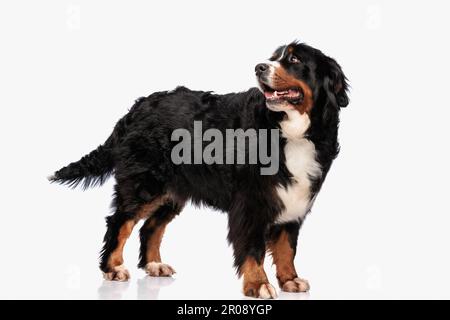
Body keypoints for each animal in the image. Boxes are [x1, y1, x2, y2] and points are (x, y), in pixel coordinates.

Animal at [50, 41, 352, 298]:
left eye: (294, 59)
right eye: (274, 56)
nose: (259, 67)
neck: (290, 131)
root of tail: (138, 106)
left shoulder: (293, 199)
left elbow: (287, 247)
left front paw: (290, 279)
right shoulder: (251, 203)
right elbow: (253, 249)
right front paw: (258, 284)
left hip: (171, 191)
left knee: (150, 227)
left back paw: (154, 265)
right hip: (145, 185)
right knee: (119, 222)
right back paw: (113, 268)